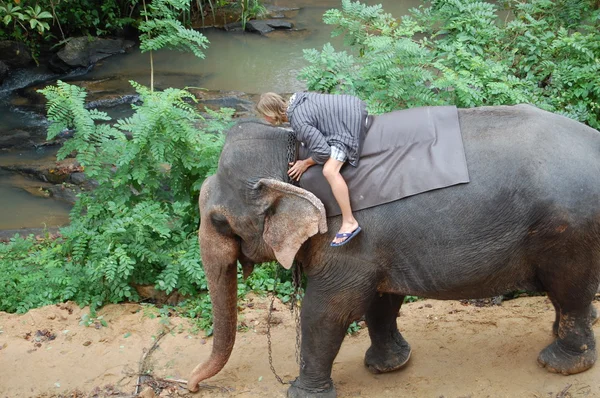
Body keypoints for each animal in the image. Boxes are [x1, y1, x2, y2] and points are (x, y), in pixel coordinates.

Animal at [186, 104, 600, 396]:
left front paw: (301, 394)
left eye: (219, 221)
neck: (287, 147)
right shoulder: (377, 245)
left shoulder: (346, 242)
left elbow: (327, 311)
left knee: (570, 290)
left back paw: (560, 363)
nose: (189, 385)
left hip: (570, 230)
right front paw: (389, 366)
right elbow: (381, 300)